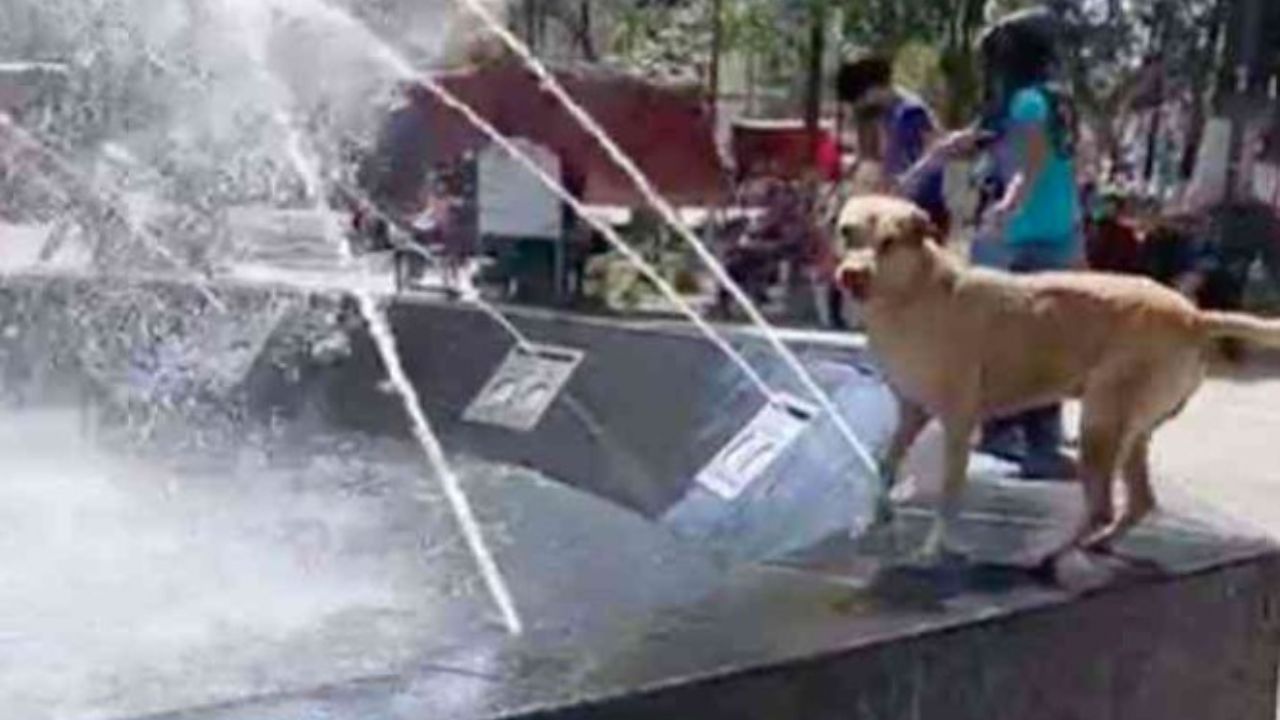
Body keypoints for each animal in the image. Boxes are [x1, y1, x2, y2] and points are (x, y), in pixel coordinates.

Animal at [834, 193, 1280, 558]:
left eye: (889, 242)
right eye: (846, 232)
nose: (851, 275)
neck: (914, 292)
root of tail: (1193, 315)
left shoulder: (959, 422)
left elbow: (948, 492)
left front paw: (933, 548)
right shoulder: (910, 413)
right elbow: (884, 464)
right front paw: (873, 520)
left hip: (1099, 425)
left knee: (1101, 507)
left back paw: (1048, 553)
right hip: (1130, 432)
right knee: (1139, 502)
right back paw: (1097, 545)